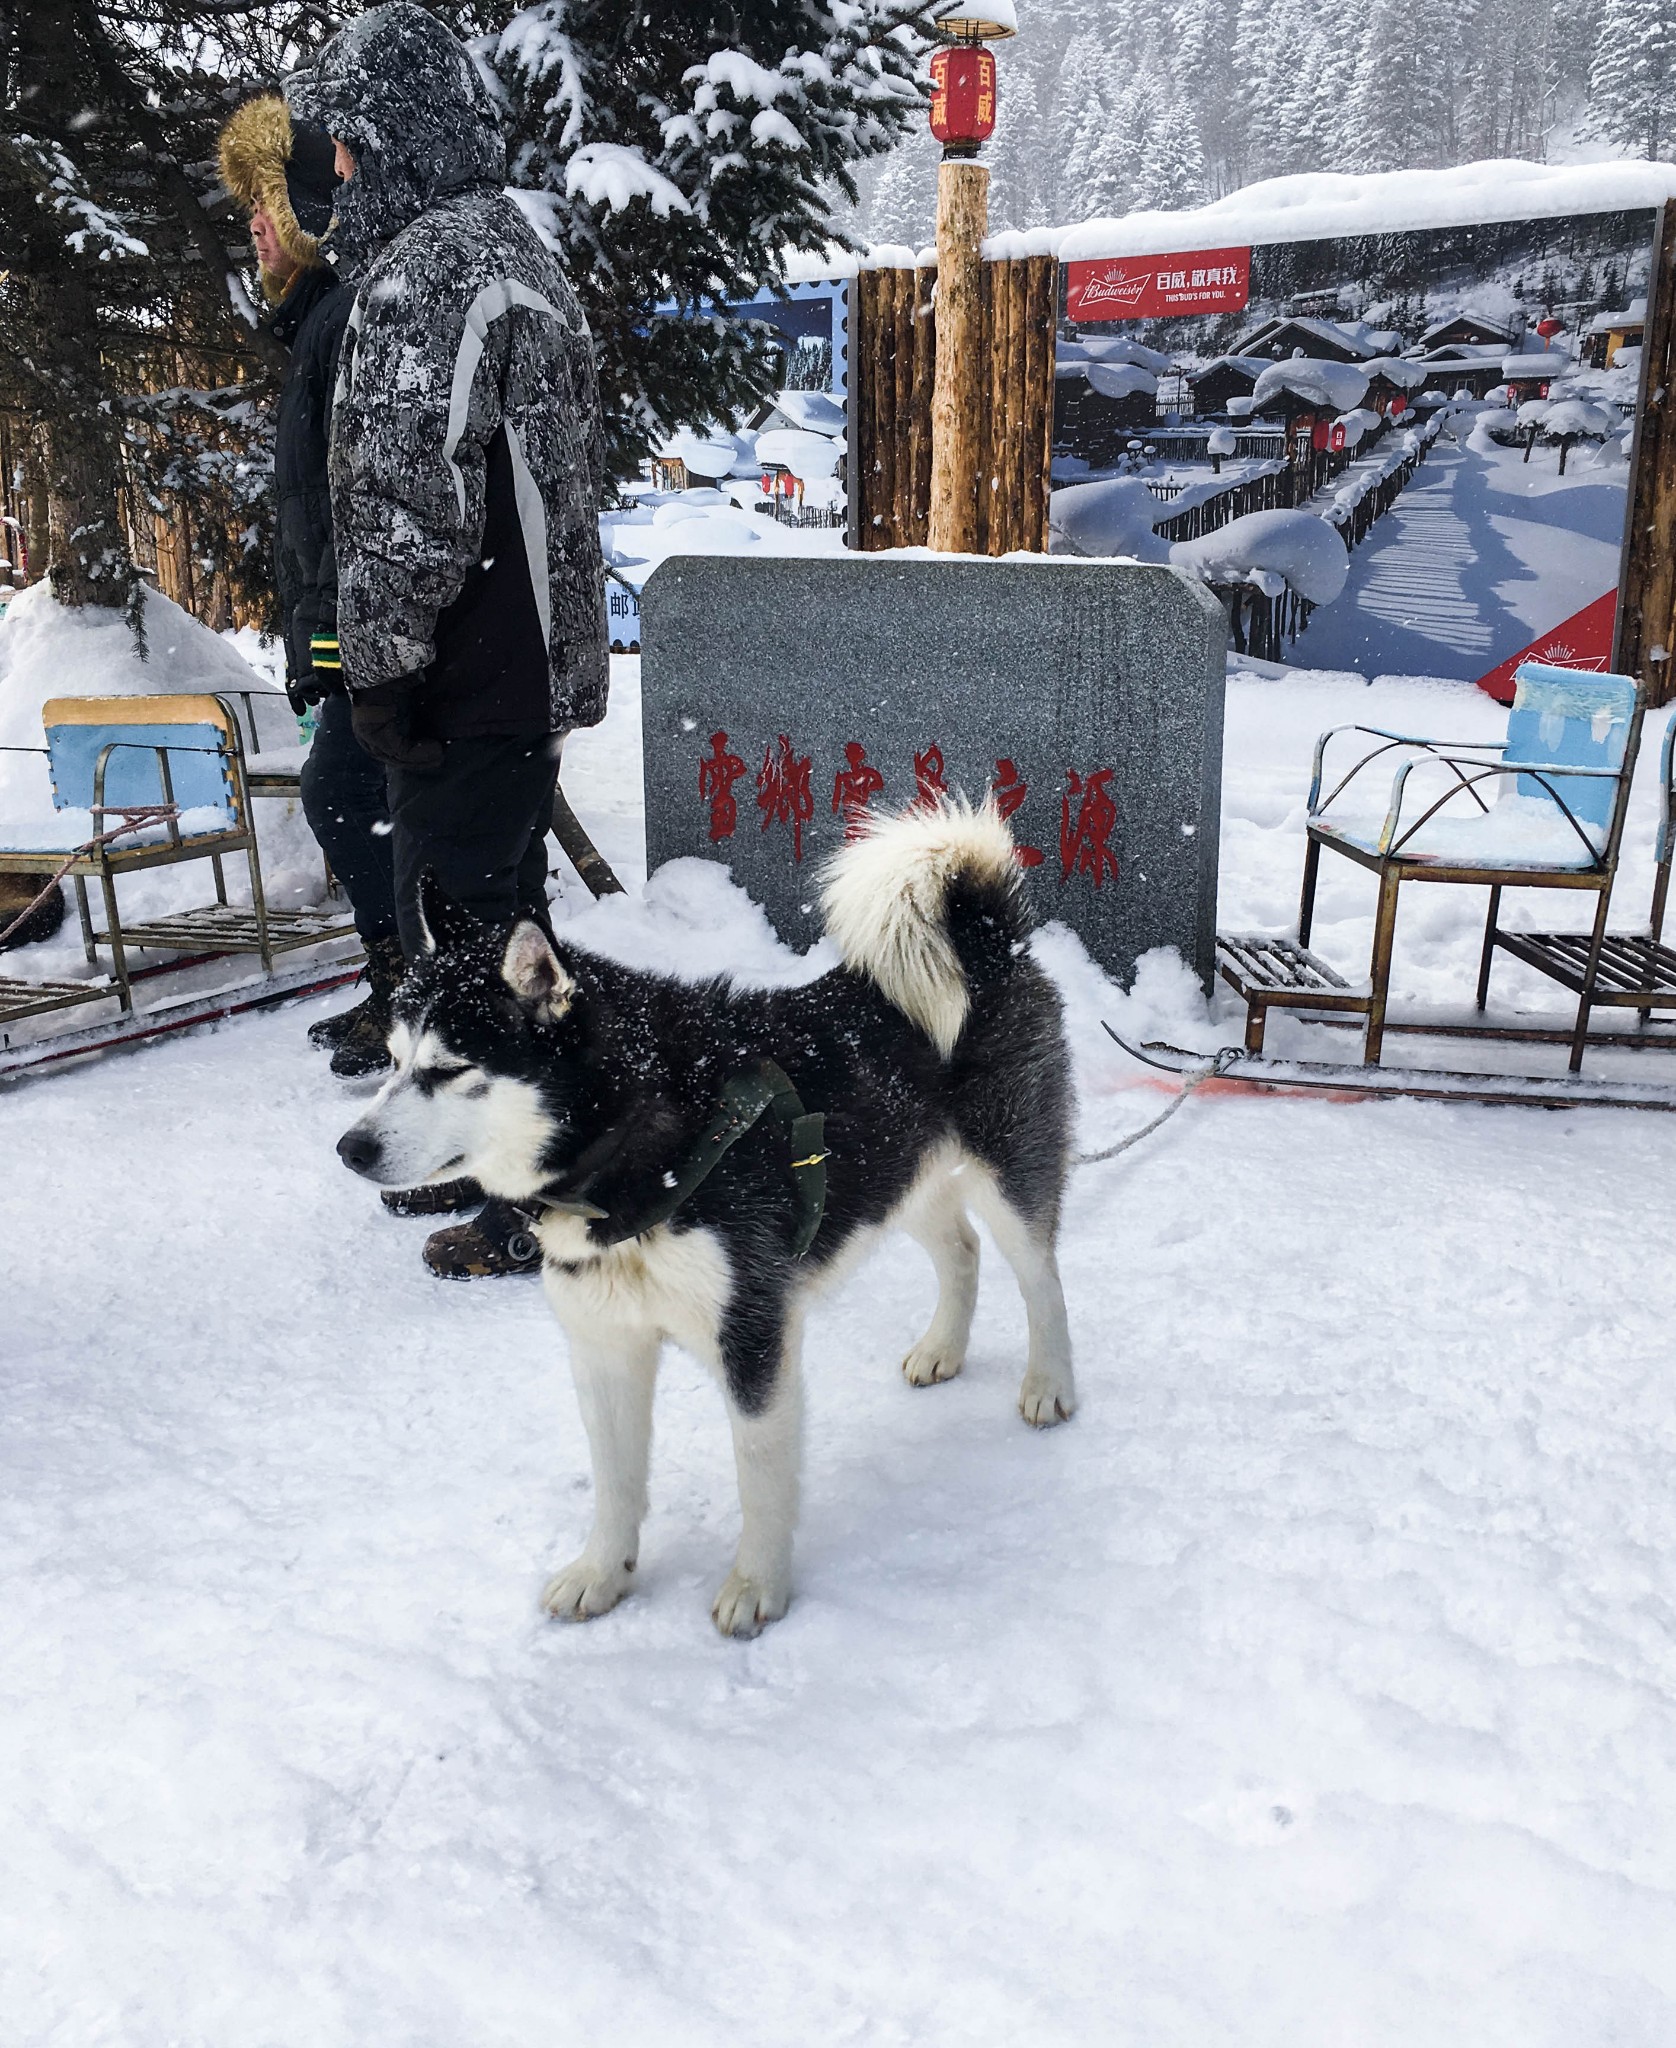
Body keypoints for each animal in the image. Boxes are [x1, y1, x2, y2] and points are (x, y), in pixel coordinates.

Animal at [338, 798, 1073, 1630]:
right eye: (395, 1059)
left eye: (448, 1069)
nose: (350, 1148)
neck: (630, 1142)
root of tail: (986, 937)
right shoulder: (603, 1345)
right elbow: (615, 1479)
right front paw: (603, 1572)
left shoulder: (751, 1334)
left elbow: (759, 1473)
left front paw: (757, 1586)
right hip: (897, 1176)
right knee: (961, 1250)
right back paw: (942, 1348)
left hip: (1007, 1173)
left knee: (1040, 1276)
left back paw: (1050, 1384)